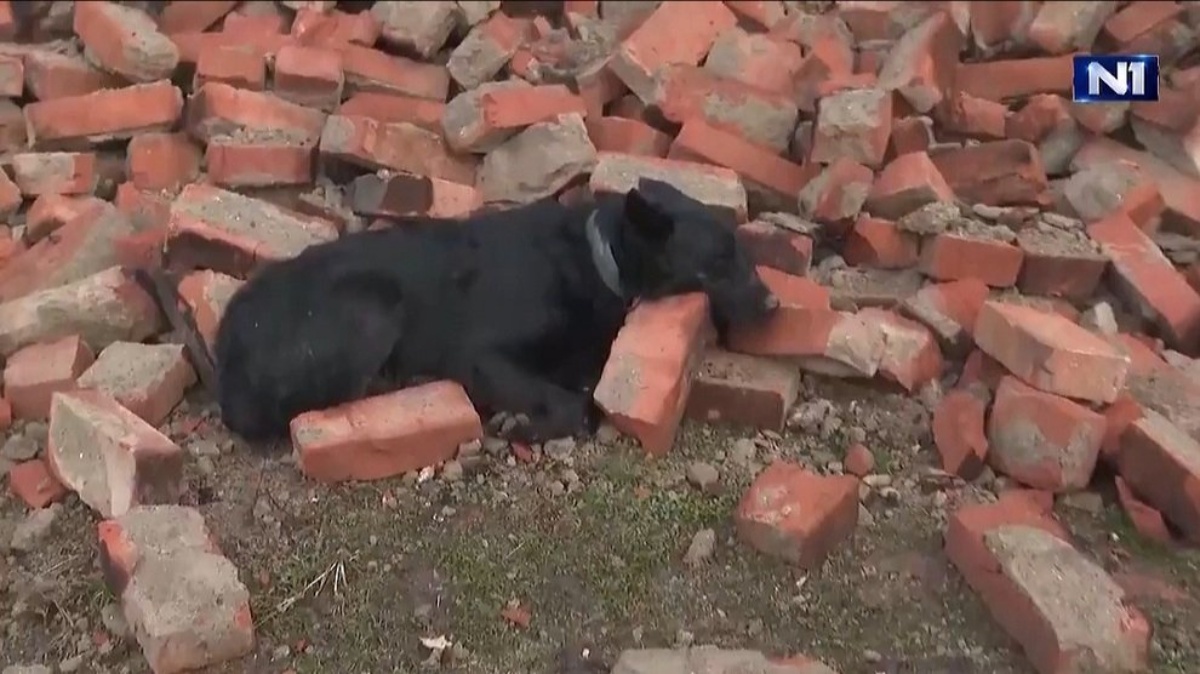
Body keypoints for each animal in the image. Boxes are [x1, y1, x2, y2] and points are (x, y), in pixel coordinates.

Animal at [212, 176, 782, 443]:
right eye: (718, 263)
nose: (775, 305)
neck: (598, 257)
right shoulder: (478, 355)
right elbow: (573, 406)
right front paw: (523, 423)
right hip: (373, 307)